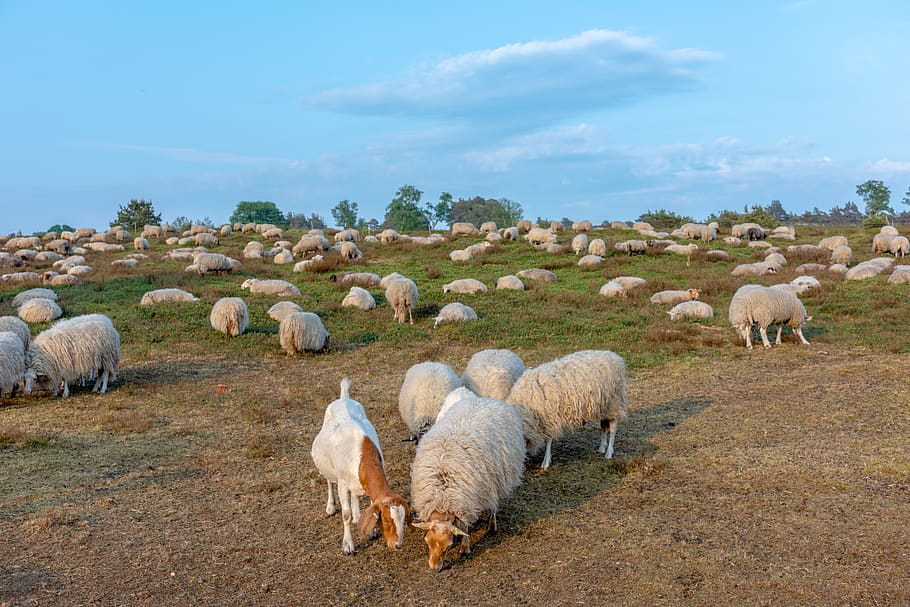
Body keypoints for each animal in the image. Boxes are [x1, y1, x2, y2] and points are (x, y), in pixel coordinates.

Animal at [310, 378, 410, 555]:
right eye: (386, 520)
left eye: (403, 520)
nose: (398, 545)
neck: (362, 454)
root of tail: (343, 397)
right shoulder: (342, 484)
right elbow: (346, 515)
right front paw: (348, 545)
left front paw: (371, 531)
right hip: (327, 467)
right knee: (329, 481)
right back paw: (331, 506)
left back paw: (358, 515)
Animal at [410, 395, 525, 571]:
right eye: (427, 541)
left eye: (448, 546)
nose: (434, 568)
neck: (443, 498)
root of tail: (487, 400)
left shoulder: (465, 503)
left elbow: (464, 527)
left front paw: (465, 548)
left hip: (495, 480)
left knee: (494, 503)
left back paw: (491, 525)